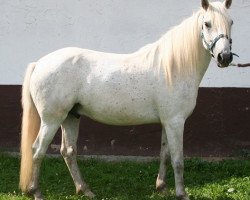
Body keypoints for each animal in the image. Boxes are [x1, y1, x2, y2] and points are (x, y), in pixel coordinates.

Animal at [19, 0, 234, 199]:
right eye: (207, 23)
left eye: (231, 22)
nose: (225, 57)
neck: (173, 67)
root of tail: (39, 63)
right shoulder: (175, 122)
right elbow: (178, 160)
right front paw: (181, 194)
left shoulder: (167, 122)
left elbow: (164, 154)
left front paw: (162, 187)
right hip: (51, 120)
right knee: (37, 150)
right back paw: (37, 192)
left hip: (71, 117)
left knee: (68, 151)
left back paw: (85, 190)